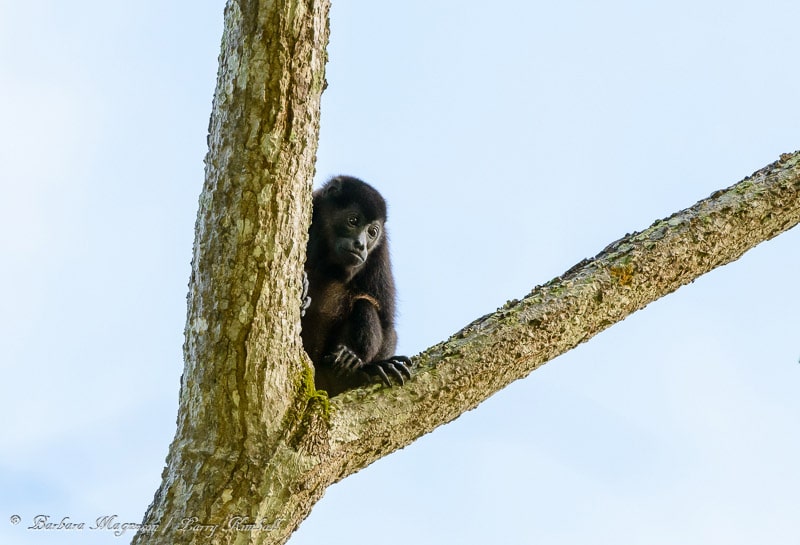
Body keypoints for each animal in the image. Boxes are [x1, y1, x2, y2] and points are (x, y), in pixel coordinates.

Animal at [302, 176, 412, 394]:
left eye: (372, 232)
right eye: (353, 221)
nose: (361, 245)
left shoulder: (379, 250)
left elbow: (387, 324)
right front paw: (302, 291)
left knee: (364, 304)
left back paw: (352, 363)